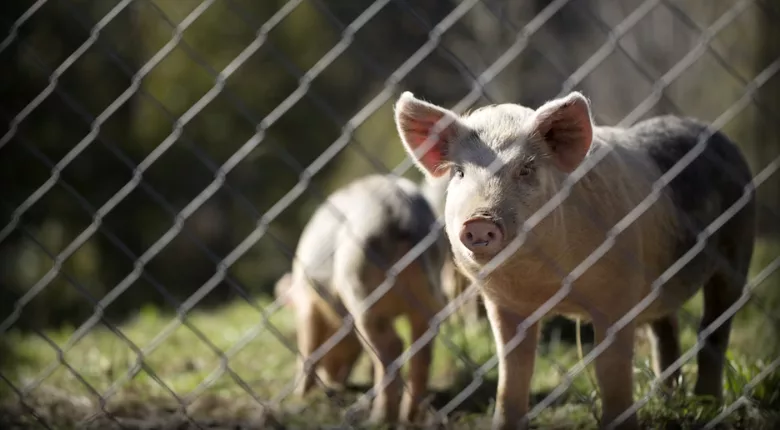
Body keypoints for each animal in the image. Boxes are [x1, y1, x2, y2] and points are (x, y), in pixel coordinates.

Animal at [276, 173, 449, 425]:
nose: (334, 381)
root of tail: (401, 213)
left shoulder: (307, 302)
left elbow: (307, 344)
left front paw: (300, 395)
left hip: (359, 282)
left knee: (392, 345)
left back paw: (378, 419)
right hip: (430, 288)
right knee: (421, 346)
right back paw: (409, 418)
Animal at [394, 91, 756, 430]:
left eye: (526, 169)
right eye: (459, 172)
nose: (479, 220)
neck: (545, 284)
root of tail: (718, 136)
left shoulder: (618, 293)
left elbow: (610, 369)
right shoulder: (503, 304)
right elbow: (513, 372)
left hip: (737, 246)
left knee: (714, 329)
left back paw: (707, 406)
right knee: (666, 330)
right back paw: (671, 401)